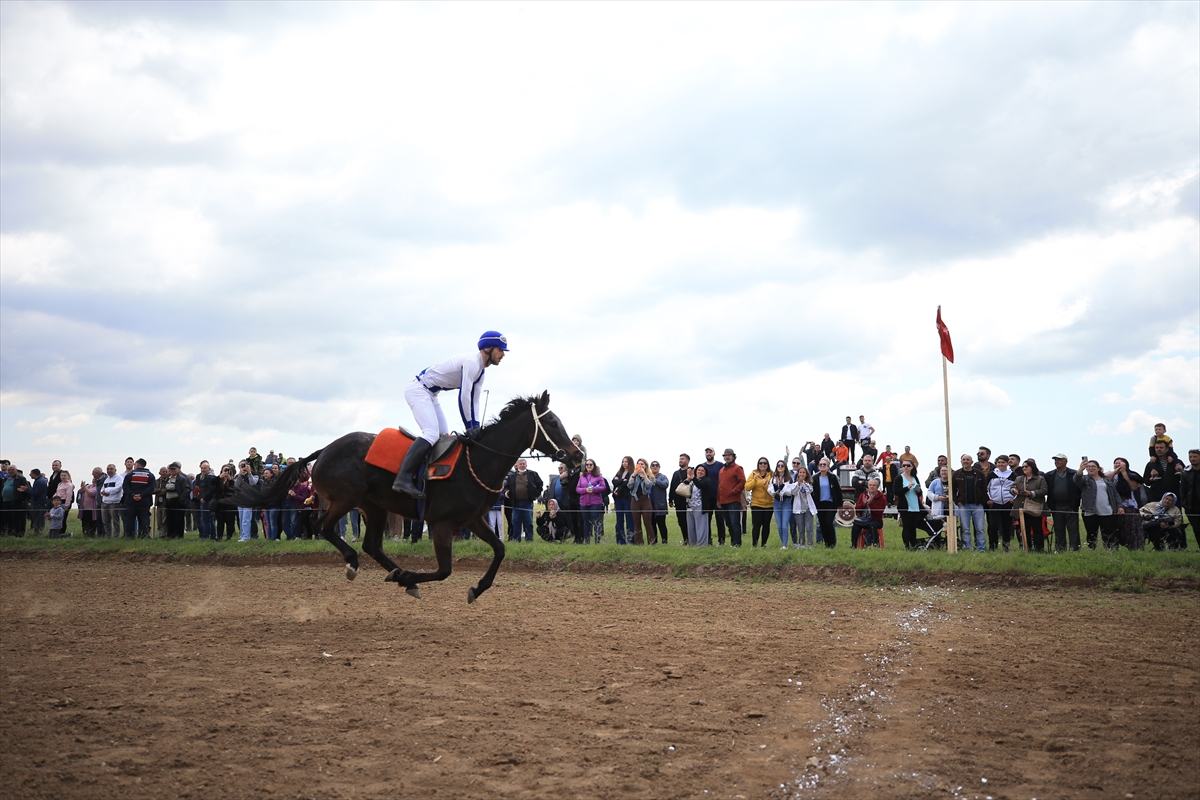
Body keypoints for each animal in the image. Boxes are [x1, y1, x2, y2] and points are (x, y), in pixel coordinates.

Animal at [236, 391, 583, 604]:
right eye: (552, 422)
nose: (578, 455)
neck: (478, 463)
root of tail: (324, 450)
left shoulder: (473, 519)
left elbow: (499, 549)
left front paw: (476, 588)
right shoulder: (441, 522)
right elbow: (444, 570)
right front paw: (407, 577)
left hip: (373, 507)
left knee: (371, 544)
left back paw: (397, 574)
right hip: (346, 499)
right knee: (325, 528)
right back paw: (359, 564)